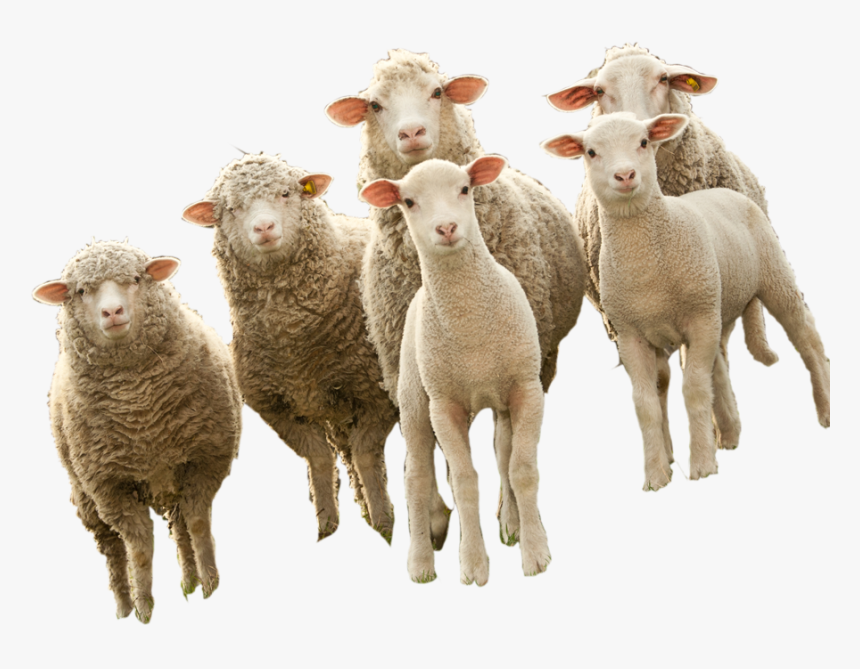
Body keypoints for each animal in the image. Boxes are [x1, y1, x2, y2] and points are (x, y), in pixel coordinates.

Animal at [33, 240, 242, 623]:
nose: (112, 311)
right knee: (113, 551)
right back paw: (123, 606)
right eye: (81, 291)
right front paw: (144, 609)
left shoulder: (203, 460)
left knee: (180, 530)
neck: (142, 413)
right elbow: (140, 547)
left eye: (134, 279)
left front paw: (210, 585)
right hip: (86, 497)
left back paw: (189, 582)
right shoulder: (110, 487)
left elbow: (198, 524)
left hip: (172, 479)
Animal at [182, 152, 448, 544]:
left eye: (286, 193)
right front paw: (327, 528)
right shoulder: (277, 409)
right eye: (230, 209)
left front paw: (385, 525)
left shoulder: (377, 395)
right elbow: (319, 459)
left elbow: (367, 455)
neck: (295, 342)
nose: (264, 228)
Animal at [361, 156, 550, 584]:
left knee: (501, 453)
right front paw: (474, 564)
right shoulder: (444, 406)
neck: (471, 325)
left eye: (465, 189)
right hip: (415, 400)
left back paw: (510, 525)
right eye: (409, 201)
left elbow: (521, 469)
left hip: (497, 402)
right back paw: (420, 562)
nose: (446, 228)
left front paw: (534, 552)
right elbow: (464, 482)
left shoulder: (526, 389)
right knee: (416, 475)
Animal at [542, 113, 830, 491]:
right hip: (717, 303)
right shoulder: (630, 335)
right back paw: (730, 433)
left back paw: (826, 413)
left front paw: (703, 465)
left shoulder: (699, 320)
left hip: (772, 278)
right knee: (719, 365)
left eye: (644, 142)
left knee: (806, 338)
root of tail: (724, 190)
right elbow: (646, 402)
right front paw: (656, 475)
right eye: (591, 152)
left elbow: (693, 389)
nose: (625, 175)